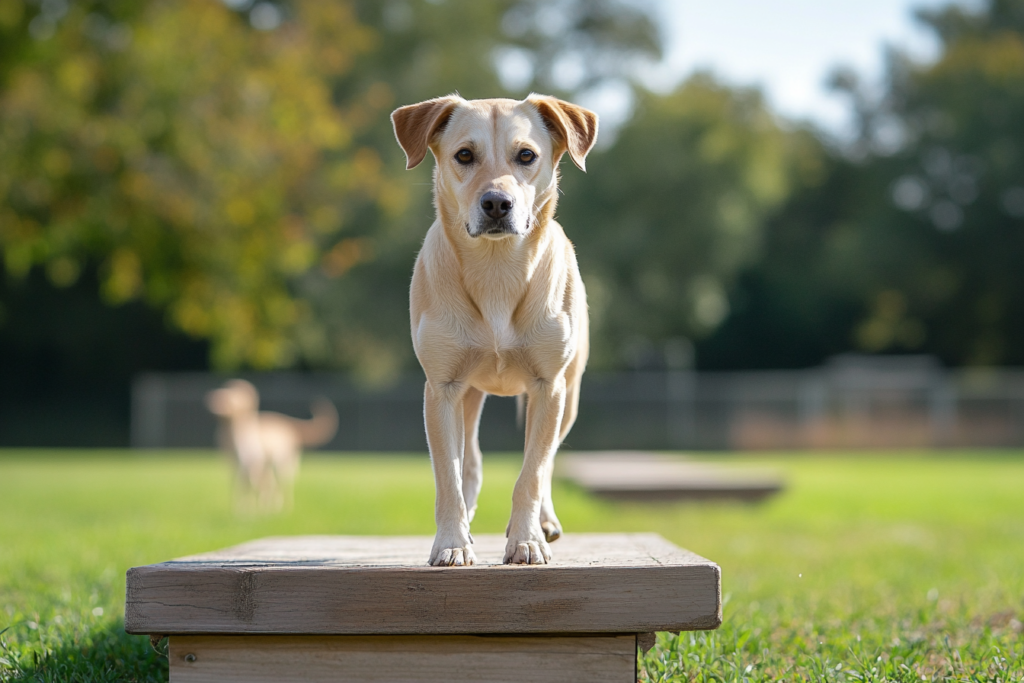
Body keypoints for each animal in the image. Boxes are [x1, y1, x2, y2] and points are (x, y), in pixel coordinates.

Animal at [204, 378, 339, 511]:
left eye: (235, 397)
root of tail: (288, 425)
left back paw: (280, 507)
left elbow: (252, 484)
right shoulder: (235, 464)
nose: (214, 403)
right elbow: (239, 484)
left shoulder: (253, 464)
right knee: (269, 483)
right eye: (222, 394)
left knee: (281, 483)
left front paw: (250, 509)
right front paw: (241, 508)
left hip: (282, 464)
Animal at [391, 94, 598, 565]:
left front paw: (526, 539)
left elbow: (532, 471)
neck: (497, 268)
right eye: (465, 155)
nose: (497, 203)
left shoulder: (548, 386)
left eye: (527, 156)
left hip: (571, 394)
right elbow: (448, 474)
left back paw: (544, 522)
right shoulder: (442, 388)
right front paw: (452, 541)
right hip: (468, 394)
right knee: (469, 459)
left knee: (547, 459)